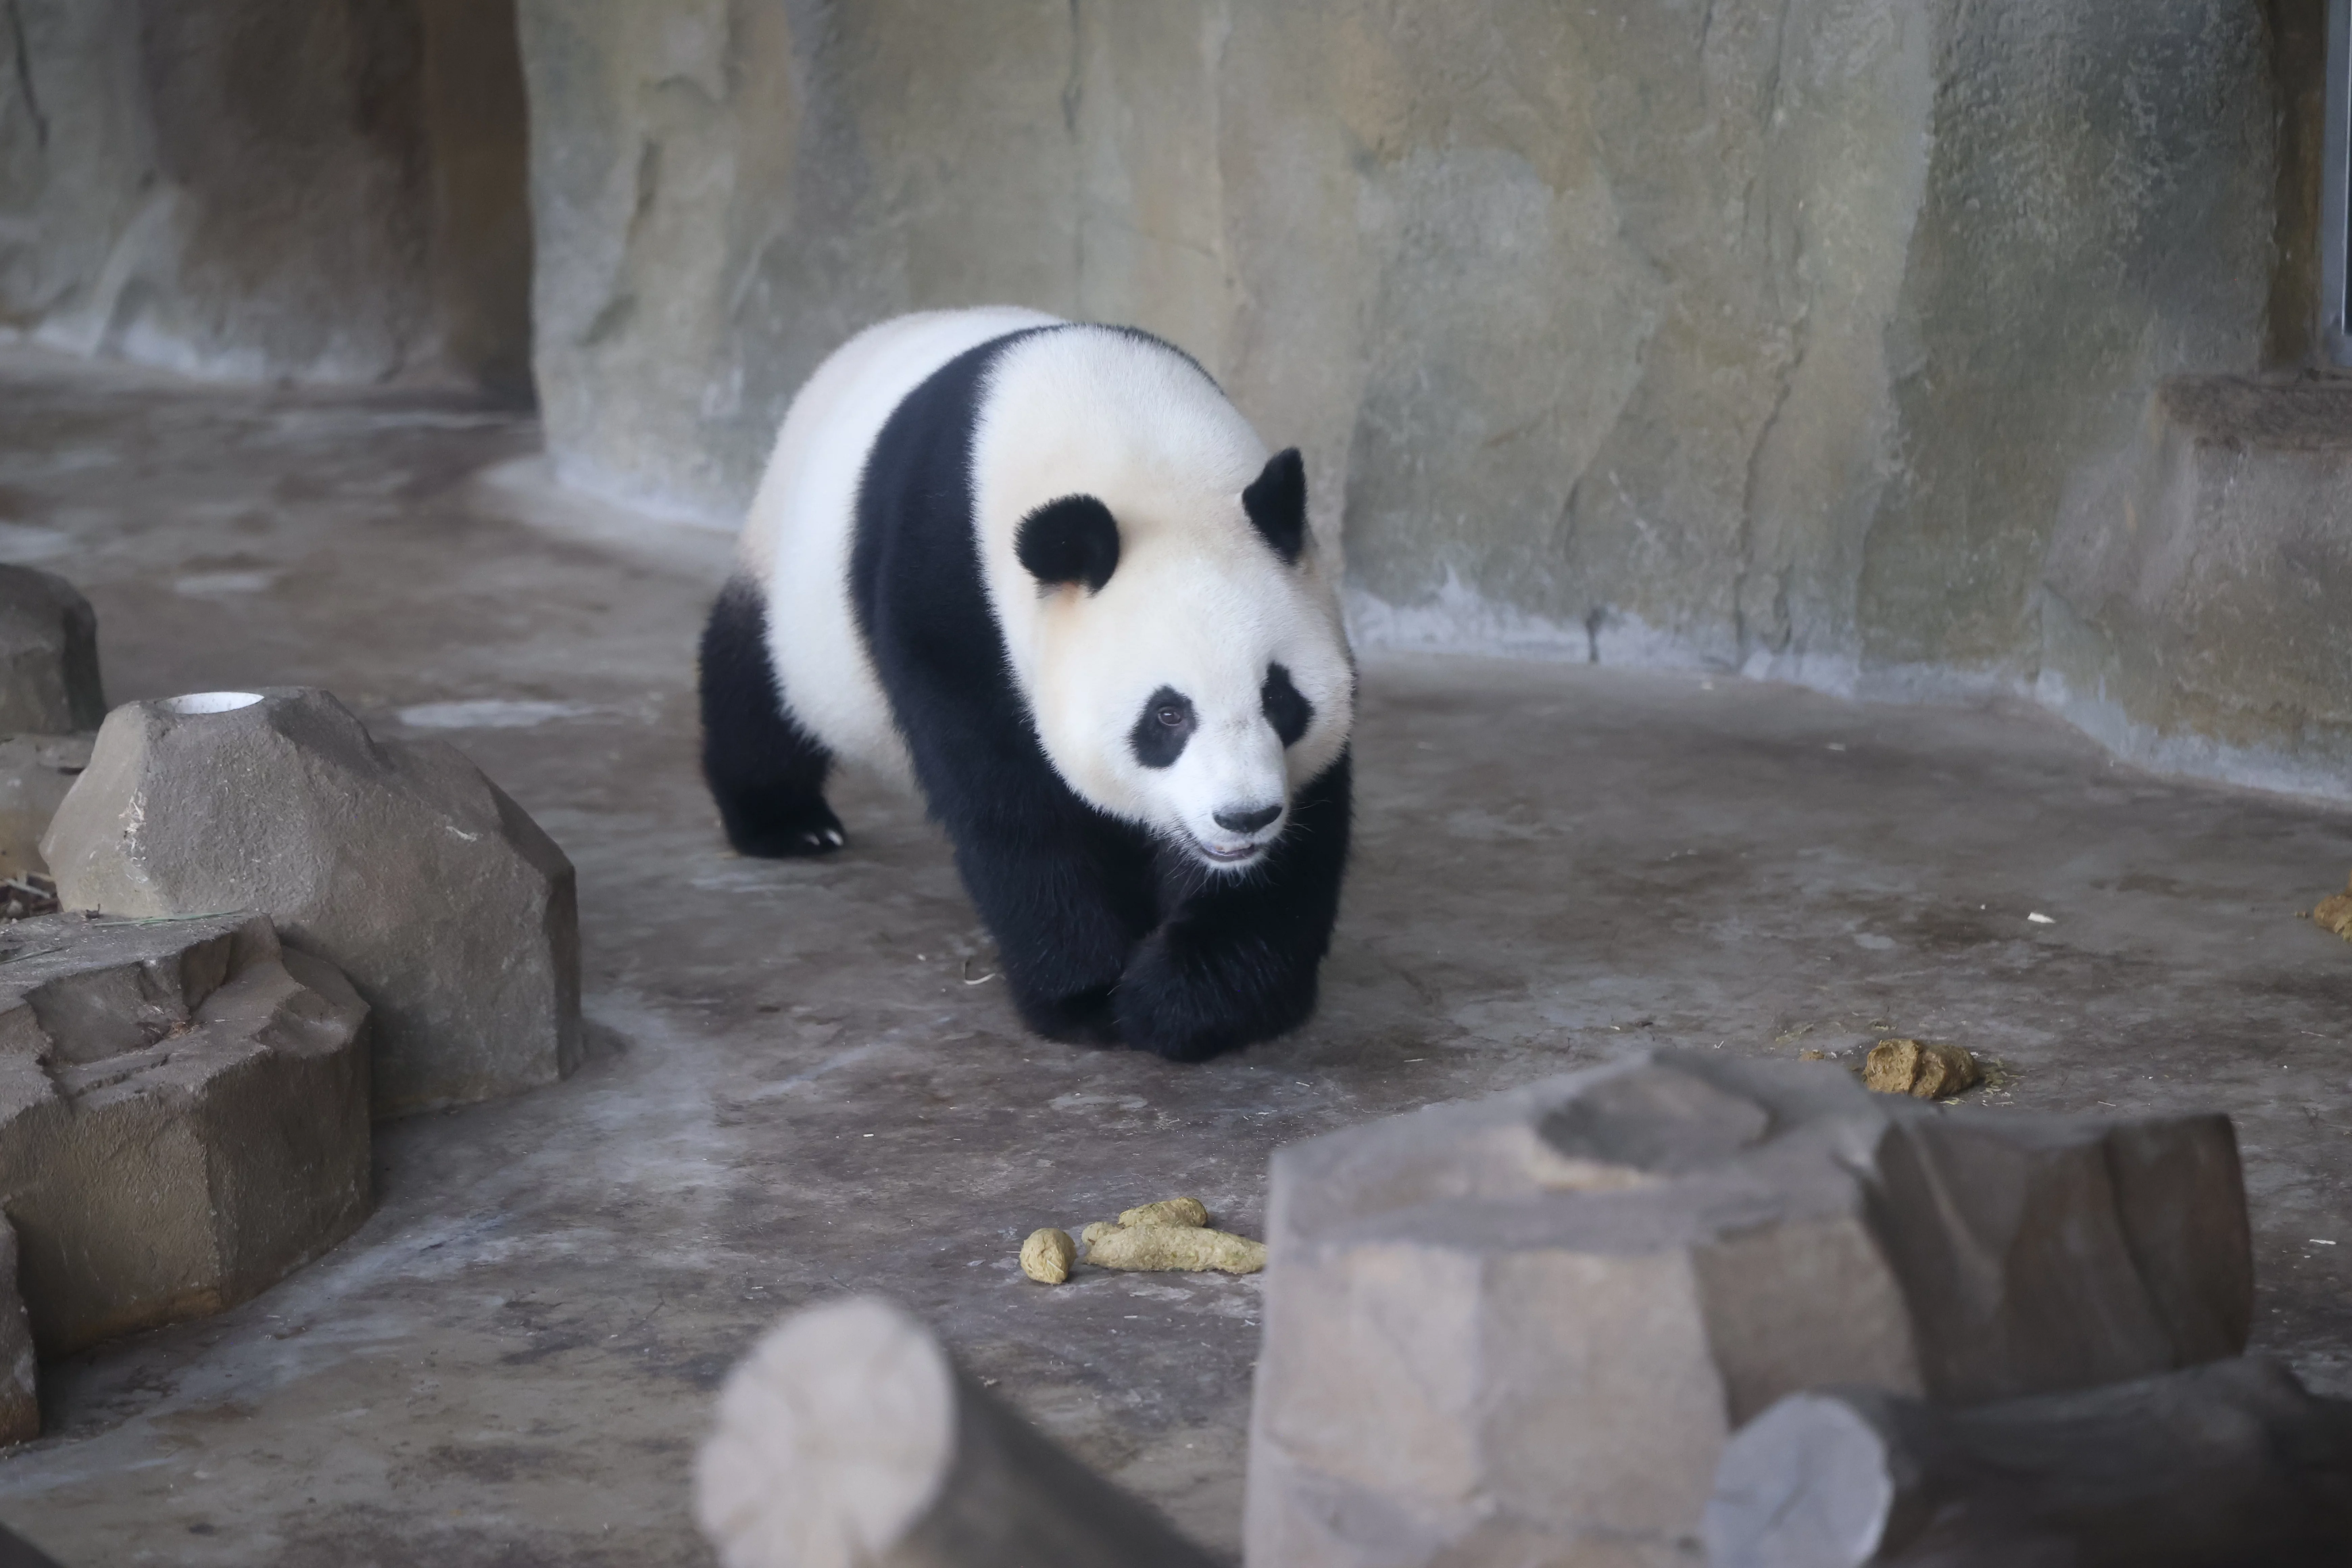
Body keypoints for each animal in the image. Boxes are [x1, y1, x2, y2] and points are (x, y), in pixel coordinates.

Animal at [697, 307, 1355, 1062]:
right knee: (755, 690)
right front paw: (1088, 999)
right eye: (1167, 716)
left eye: (1281, 700)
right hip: (791, 580)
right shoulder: (952, 594)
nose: (1243, 818)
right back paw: (788, 824)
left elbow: (1304, 836)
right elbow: (1016, 810)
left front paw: (1190, 1002)